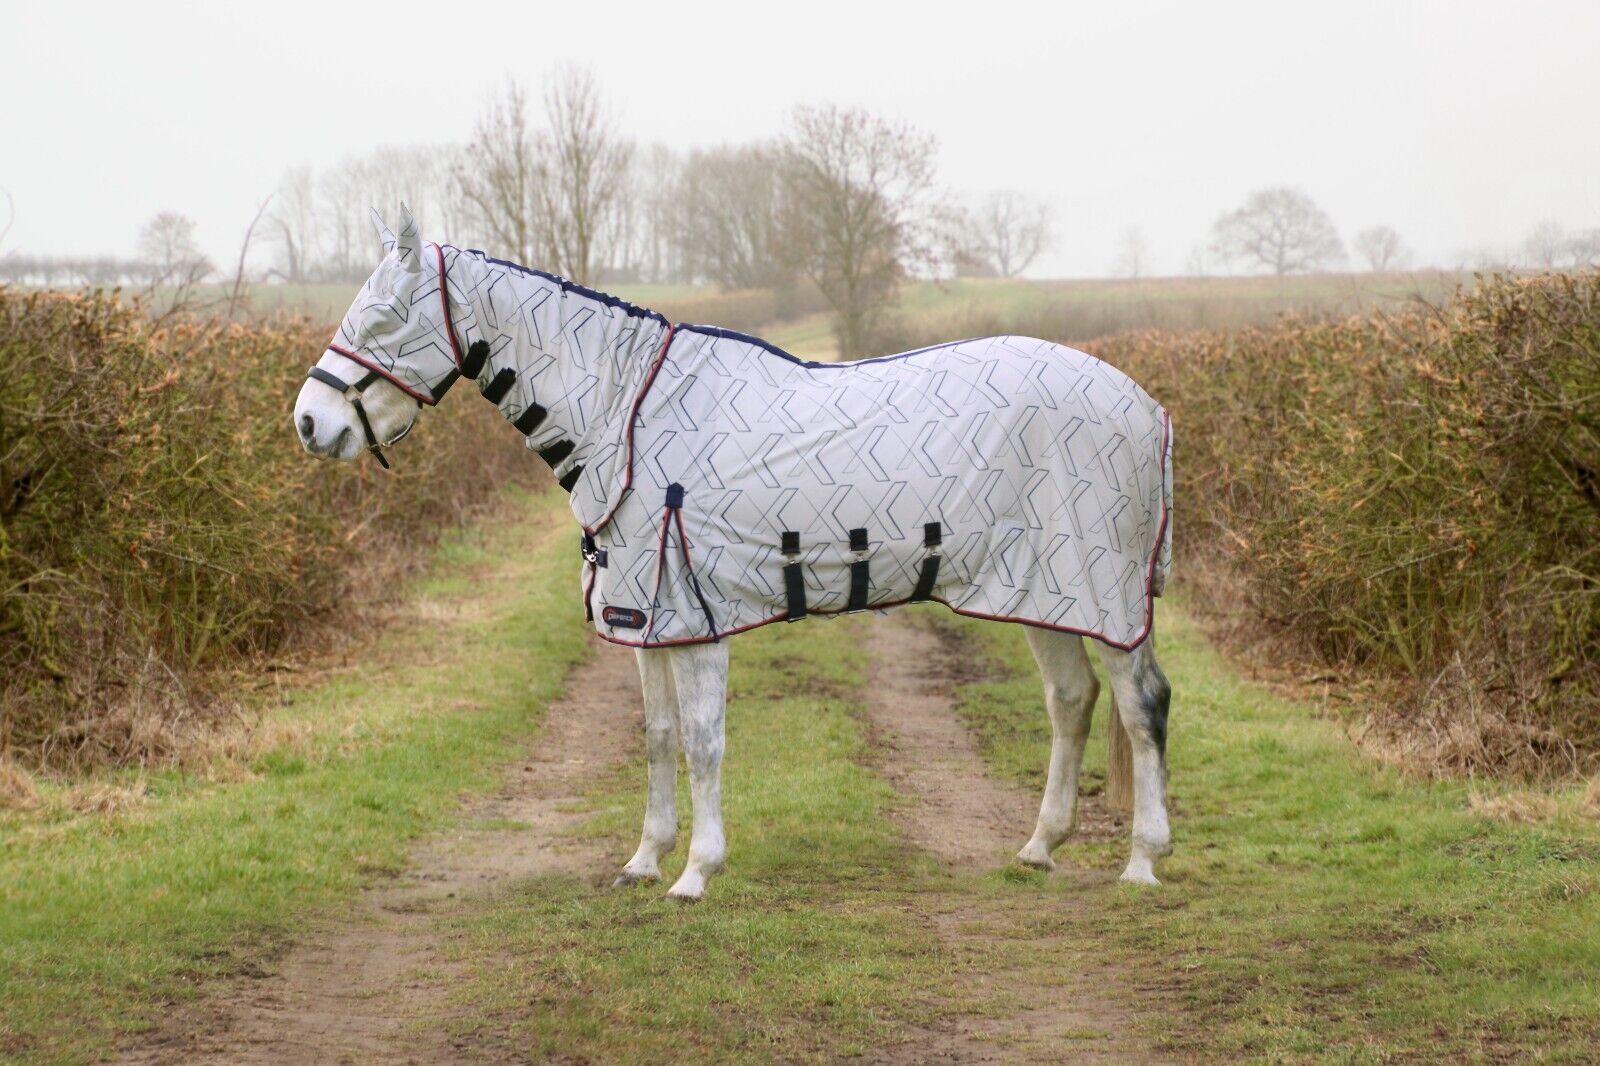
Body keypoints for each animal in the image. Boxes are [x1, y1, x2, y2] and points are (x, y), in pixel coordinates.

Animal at [294, 206, 1174, 900]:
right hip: (1045, 594)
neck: (626, 413)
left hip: (1106, 598)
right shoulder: (644, 617)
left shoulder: (695, 619)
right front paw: (644, 860)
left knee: (1141, 704)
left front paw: (695, 872)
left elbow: (703, 739)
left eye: (384, 319)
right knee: (1071, 700)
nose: (310, 424)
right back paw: (1039, 847)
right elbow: (657, 737)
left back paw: (1142, 861)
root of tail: (1148, 406)